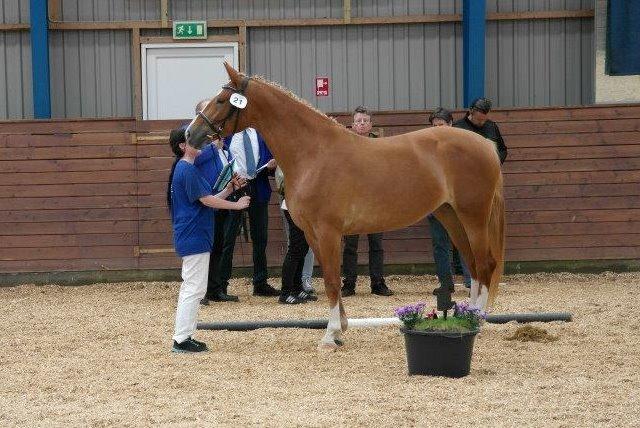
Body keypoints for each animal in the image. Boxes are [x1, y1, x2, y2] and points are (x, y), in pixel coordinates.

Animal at [185, 63, 504, 352]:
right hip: (450, 216)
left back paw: (478, 319)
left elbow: (330, 281)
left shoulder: (328, 232)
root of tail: (486, 145)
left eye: (221, 100)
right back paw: (468, 315)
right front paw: (340, 328)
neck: (314, 153)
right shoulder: (313, 234)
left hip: (473, 217)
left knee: (484, 263)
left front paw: (330, 336)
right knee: (474, 266)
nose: (190, 134)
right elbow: (332, 280)